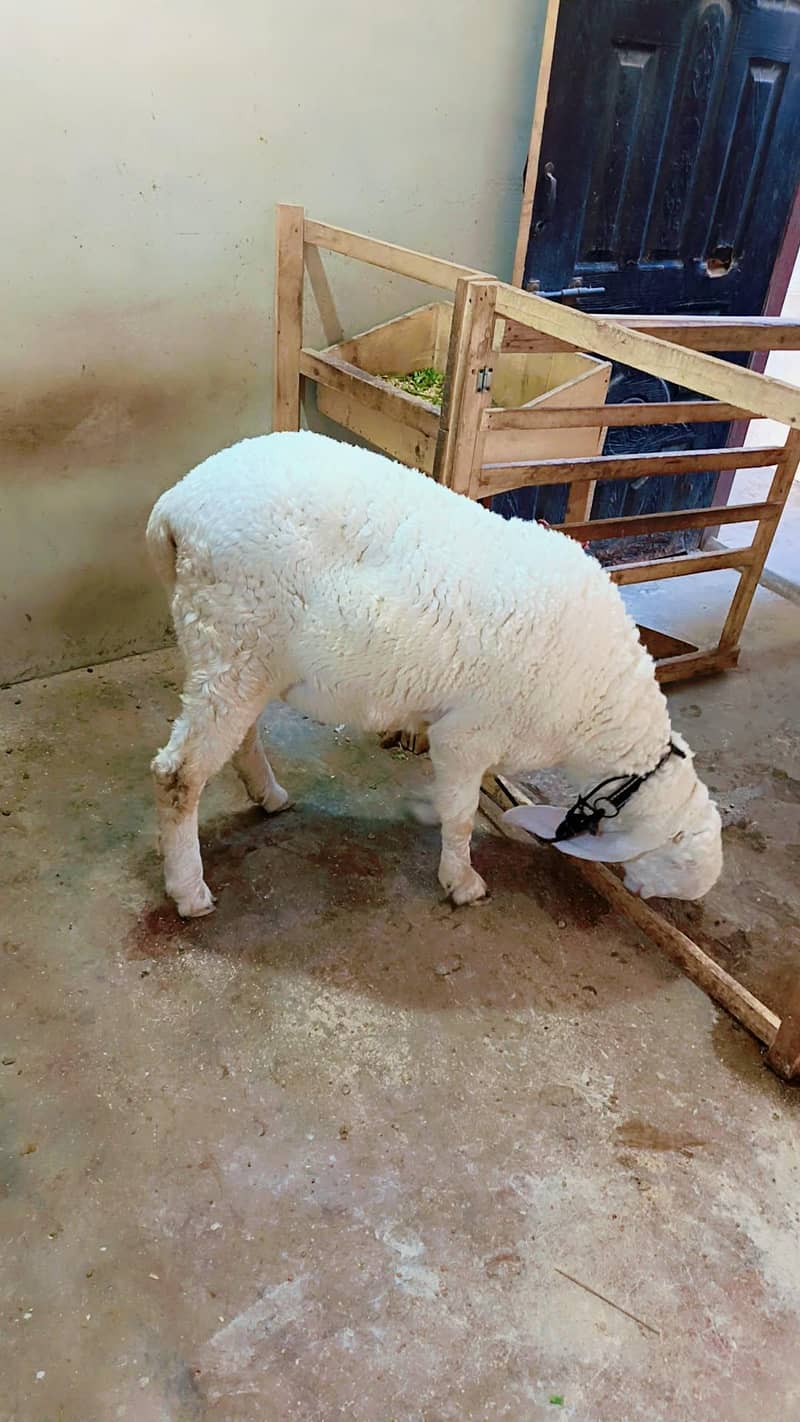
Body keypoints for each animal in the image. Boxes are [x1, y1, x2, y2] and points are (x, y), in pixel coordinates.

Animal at [146, 429, 722, 917]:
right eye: (680, 861)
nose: (650, 897)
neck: (603, 711)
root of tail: (174, 507)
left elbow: (453, 800)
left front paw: (430, 815)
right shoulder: (470, 733)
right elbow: (463, 813)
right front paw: (462, 881)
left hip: (240, 657)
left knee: (239, 738)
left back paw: (268, 796)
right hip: (232, 641)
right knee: (179, 774)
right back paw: (190, 890)